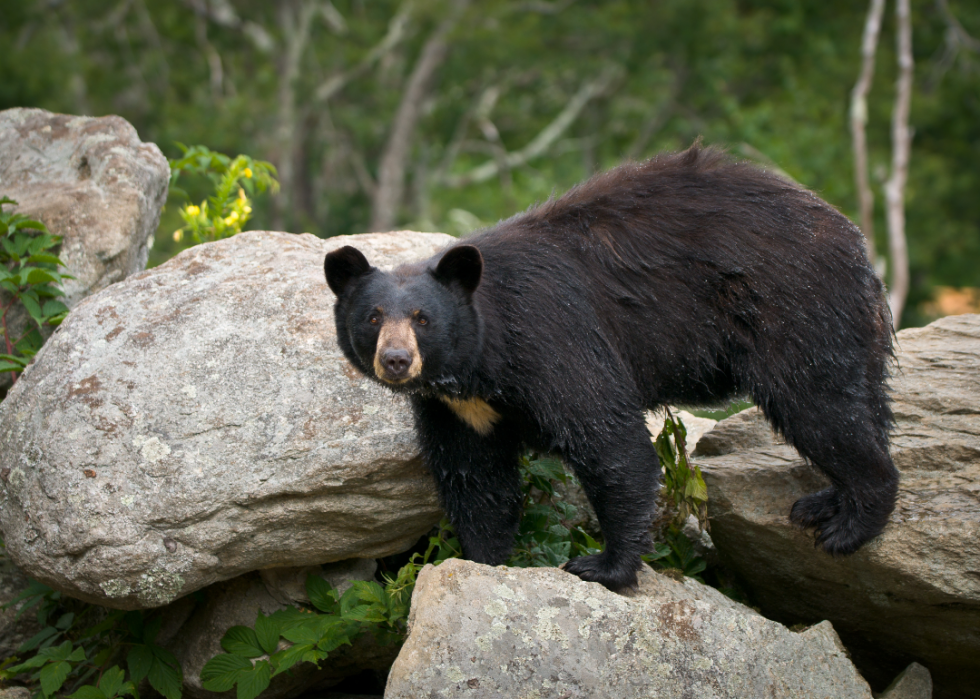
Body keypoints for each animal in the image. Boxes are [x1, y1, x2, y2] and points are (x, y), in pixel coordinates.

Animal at [326, 145, 900, 592]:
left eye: (422, 318)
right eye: (373, 316)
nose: (396, 360)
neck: (481, 363)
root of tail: (854, 240)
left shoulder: (552, 339)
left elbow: (609, 442)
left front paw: (604, 565)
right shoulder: (457, 408)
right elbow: (475, 479)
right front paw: (483, 560)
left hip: (794, 309)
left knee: (819, 406)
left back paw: (850, 523)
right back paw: (826, 502)